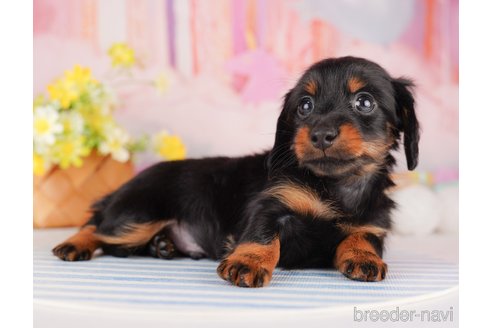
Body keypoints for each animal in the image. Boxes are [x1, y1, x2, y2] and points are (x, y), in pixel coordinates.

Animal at [52, 56, 418, 288]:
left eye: (365, 102)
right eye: (305, 106)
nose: (321, 135)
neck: (335, 184)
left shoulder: (373, 222)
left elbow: (362, 237)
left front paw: (363, 257)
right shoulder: (272, 204)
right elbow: (261, 236)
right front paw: (248, 262)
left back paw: (163, 247)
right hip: (137, 216)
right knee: (98, 225)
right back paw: (74, 244)